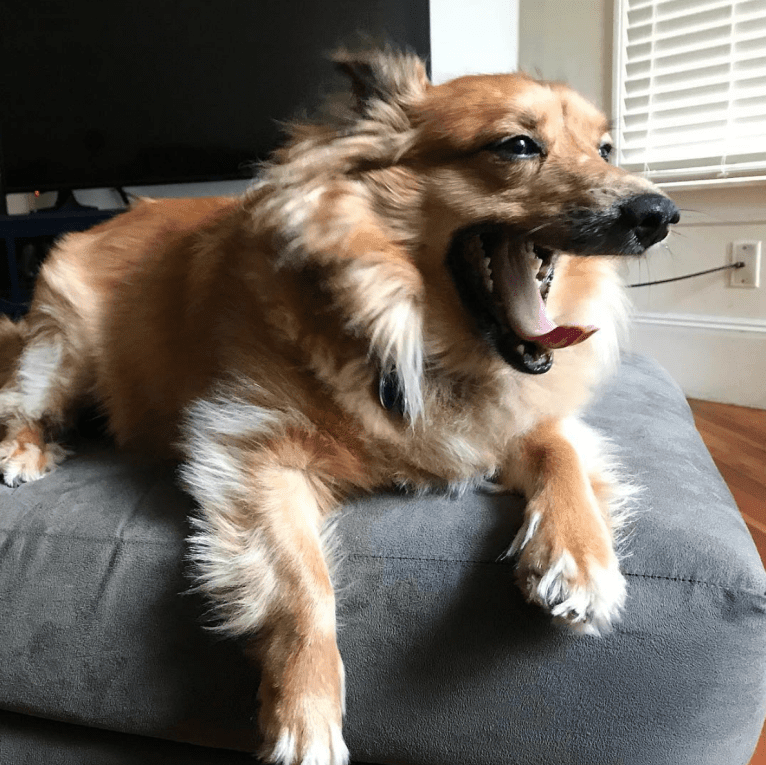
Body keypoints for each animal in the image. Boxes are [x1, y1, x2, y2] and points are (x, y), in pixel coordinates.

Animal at [3, 47, 680, 764]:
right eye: (518, 146)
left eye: (606, 149)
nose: (660, 213)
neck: (406, 335)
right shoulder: (250, 449)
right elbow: (305, 586)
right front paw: (306, 714)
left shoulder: (517, 418)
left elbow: (559, 450)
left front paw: (580, 556)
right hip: (62, 349)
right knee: (24, 402)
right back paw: (23, 452)